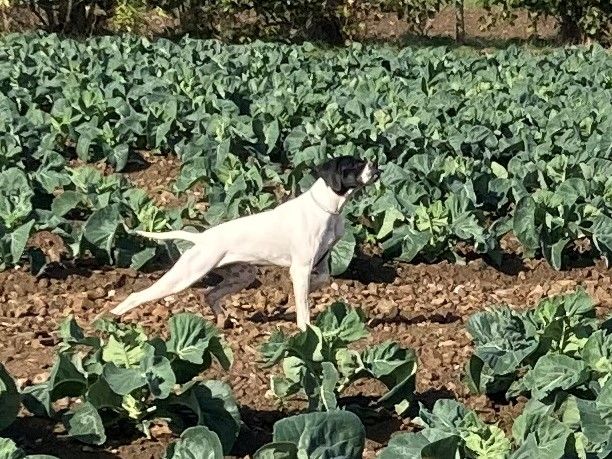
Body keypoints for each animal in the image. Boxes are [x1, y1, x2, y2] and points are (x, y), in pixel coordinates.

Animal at [109, 156, 378, 328]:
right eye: (355, 164)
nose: (376, 164)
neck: (328, 209)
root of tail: (201, 237)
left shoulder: (319, 264)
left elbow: (317, 283)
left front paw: (287, 305)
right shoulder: (300, 269)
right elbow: (304, 310)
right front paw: (307, 333)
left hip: (243, 275)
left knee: (210, 294)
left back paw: (221, 322)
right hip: (183, 276)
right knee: (136, 297)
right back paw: (110, 322)